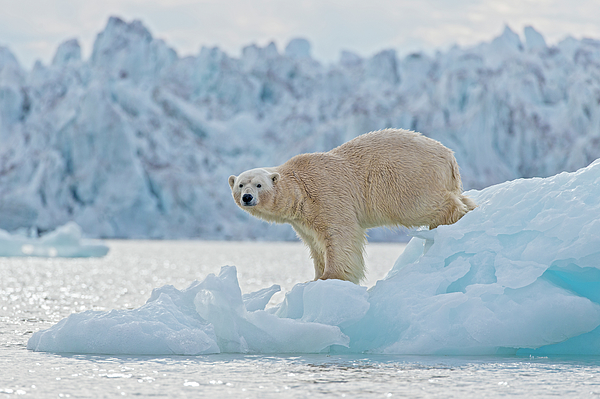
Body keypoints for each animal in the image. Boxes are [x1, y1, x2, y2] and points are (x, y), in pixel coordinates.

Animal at [227, 129, 476, 284]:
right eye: (240, 184)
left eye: (259, 184)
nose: (247, 197)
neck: (300, 187)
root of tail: (449, 156)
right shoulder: (302, 220)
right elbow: (316, 244)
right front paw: (315, 276)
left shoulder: (326, 195)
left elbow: (339, 235)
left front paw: (330, 277)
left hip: (407, 180)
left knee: (422, 205)